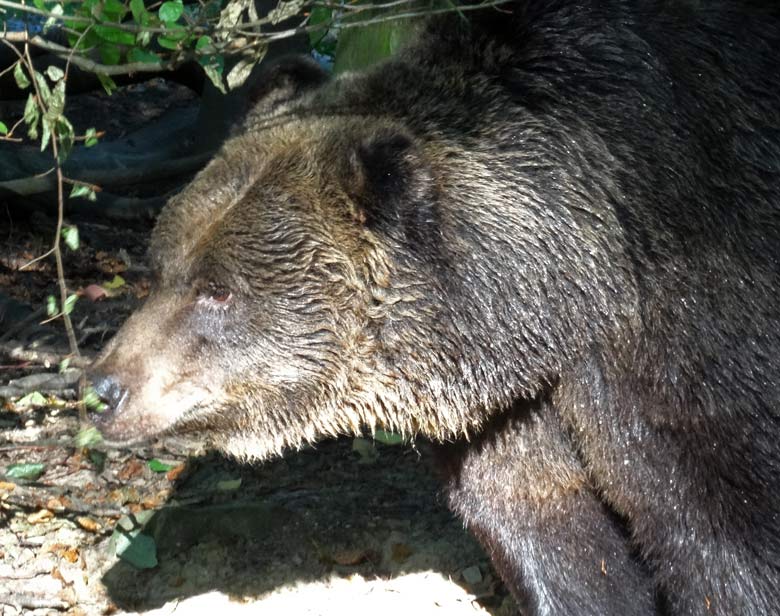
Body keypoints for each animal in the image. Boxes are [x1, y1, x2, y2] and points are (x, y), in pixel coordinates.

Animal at [91, 2, 780, 612]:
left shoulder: (690, 321)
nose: (103, 387)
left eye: (219, 289)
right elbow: (555, 539)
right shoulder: (505, 415)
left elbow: (725, 535)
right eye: (160, 268)